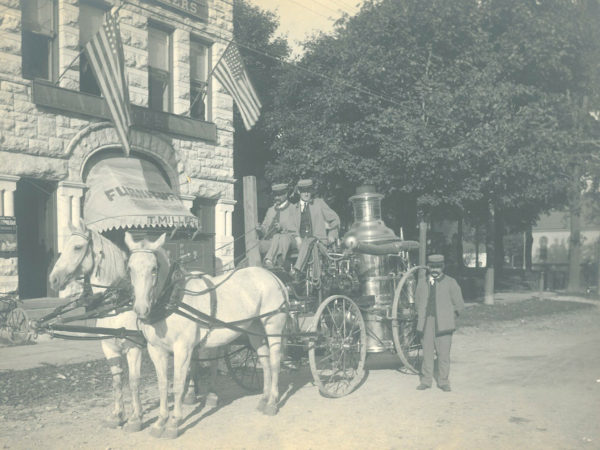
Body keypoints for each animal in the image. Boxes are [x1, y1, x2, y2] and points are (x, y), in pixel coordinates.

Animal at [48, 221, 144, 432]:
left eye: (77, 247)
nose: (53, 279)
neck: (117, 303)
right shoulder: (109, 346)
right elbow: (117, 380)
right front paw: (117, 415)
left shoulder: (134, 347)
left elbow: (134, 381)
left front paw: (136, 419)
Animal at [125, 232, 288, 440]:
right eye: (130, 268)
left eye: (154, 269)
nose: (141, 309)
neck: (172, 300)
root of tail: (273, 276)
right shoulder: (156, 350)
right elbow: (163, 384)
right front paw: (160, 421)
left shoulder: (183, 349)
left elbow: (178, 384)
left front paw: (174, 423)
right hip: (255, 329)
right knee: (265, 361)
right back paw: (264, 398)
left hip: (273, 325)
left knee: (274, 362)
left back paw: (273, 402)